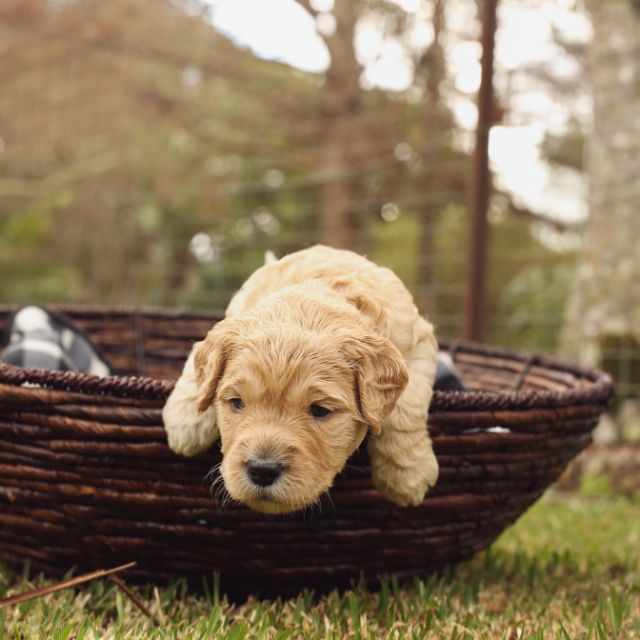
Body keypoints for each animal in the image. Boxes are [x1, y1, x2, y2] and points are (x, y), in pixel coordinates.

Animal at [162, 246, 438, 516]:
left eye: (320, 410)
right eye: (237, 402)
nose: (263, 470)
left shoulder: (416, 343)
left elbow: (406, 409)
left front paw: (407, 475)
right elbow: (199, 358)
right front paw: (184, 423)